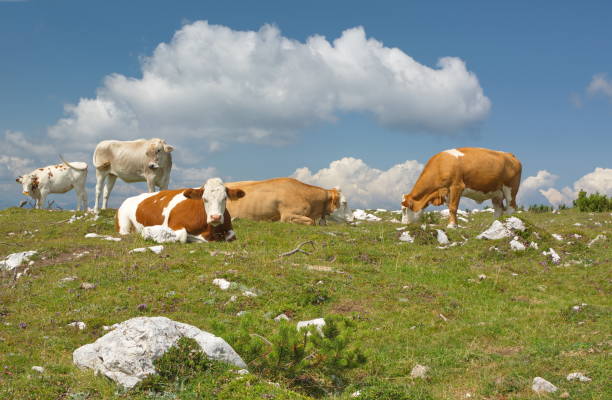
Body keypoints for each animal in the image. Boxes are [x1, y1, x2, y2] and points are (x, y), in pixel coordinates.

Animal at [116, 179, 245, 242]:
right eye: (204, 199)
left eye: (225, 198)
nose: (215, 217)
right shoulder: (174, 224)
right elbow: (183, 235)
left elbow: (231, 236)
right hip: (123, 221)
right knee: (125, 232)